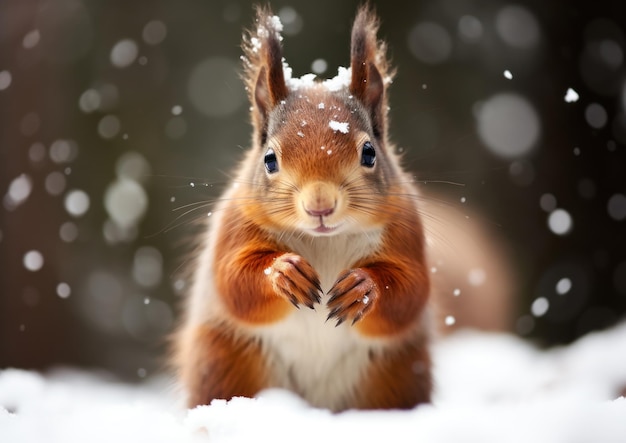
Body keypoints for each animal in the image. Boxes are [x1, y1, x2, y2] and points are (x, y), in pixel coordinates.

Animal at [172, 5, 438, 412]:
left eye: (369, 153)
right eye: (269, 160)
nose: (320, 205)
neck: (324, 241)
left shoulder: (405, 229)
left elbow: (409, 290)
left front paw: (363, 286)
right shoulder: (236, 227)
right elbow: (234, 281)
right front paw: (283, 272)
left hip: (394, 372)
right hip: (227, 358)